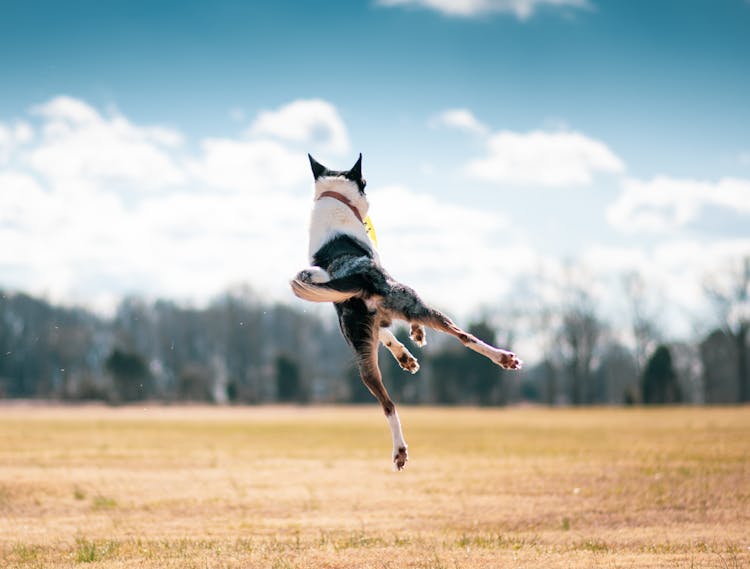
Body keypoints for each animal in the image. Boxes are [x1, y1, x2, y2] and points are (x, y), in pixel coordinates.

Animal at [292, 153, 524, 468]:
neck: (335, 200)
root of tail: (359, 277)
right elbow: (403, 330)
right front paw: (416, 335)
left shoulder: (368, 322)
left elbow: (387, 335)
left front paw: (405, 357)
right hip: (415, 302)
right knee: (463, 336)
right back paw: (504, 358)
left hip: (362, 357)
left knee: (388, 404)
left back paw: (399, 449)